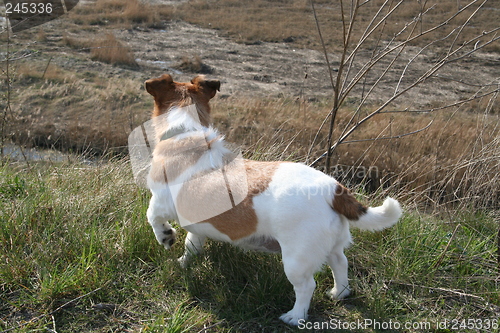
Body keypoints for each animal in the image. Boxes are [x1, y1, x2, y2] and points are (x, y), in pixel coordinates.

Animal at [142, 73, 402, 324]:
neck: (186, 132)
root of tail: (333, 189)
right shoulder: (197, 223)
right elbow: (192, 245)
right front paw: (184, 262)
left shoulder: (160, 201)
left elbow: (152, 217)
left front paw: (166, 237)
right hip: (332, 246)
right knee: (340, 263)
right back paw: (339, 293)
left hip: (296, 259)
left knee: (307, 286)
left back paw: (295, 316)